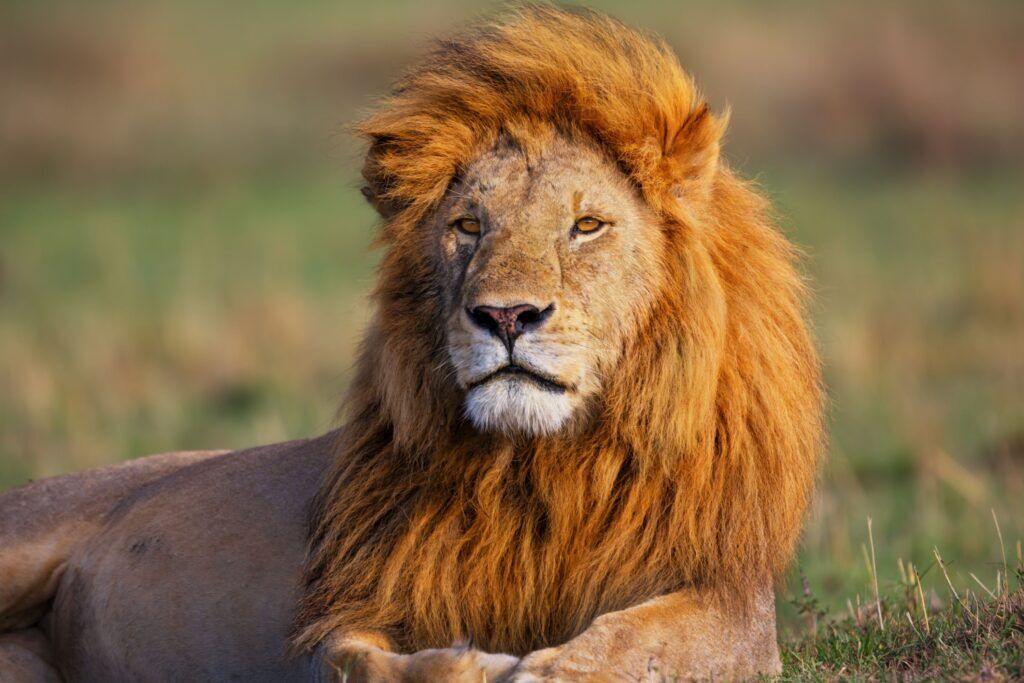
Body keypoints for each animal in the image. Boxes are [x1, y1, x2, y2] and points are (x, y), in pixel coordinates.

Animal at [0, 6, 819, 683]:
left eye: (586, 225)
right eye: (468, 225)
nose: (506, 316)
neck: (541, 467)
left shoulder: (729, 597)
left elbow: (639, 641)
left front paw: (549, 669)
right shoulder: (353, 599)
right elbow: (358, 659)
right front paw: (476, 665)